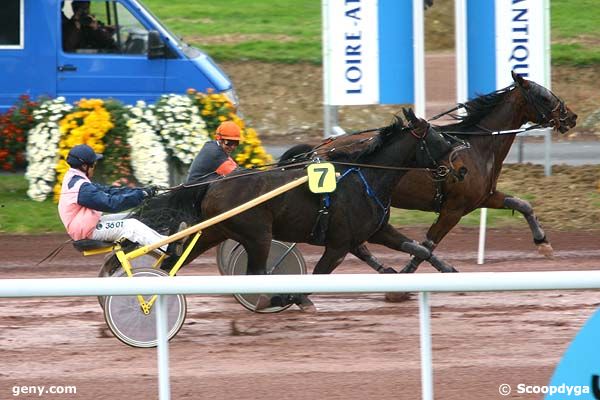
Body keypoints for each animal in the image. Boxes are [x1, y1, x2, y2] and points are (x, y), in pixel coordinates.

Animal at [280, 72, 576, 274]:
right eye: (544, 96)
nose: (571, 117)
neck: (476, 146)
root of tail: (320, 147)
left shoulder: (483, 198)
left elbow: (523, 204)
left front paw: (543, 243)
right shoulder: (453, 209)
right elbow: (428, 244)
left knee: (357, 244)